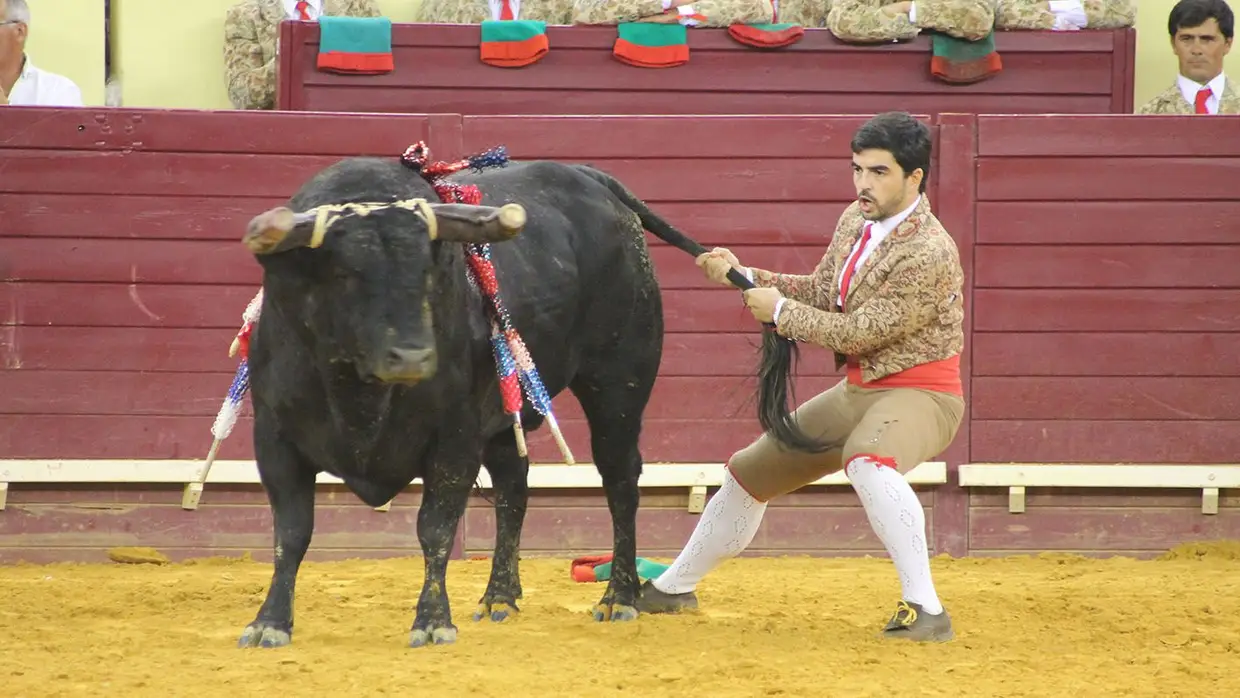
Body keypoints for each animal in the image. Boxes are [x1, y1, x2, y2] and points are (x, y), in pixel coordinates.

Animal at [236, 156, 808, 649]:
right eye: (345, 273)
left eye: (431, 272)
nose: (414, 356)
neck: (359, 390)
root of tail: (592, 179)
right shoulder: (274, 439)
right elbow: (292, 531)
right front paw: (269, 623)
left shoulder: (455, 438)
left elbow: (434, 528)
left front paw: (432, 622)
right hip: (505, 419)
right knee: (515, 488)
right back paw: (499, 597)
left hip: (617, 389)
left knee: (620, 482)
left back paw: (618, 596)